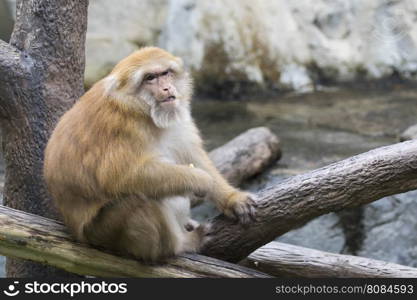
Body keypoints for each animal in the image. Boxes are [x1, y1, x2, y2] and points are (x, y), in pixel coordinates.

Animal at [44, 47, 255, 262]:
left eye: (165, 73)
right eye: (150, 78)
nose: (167, 88)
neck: (142, 111)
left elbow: (190, 152)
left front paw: (232, 199)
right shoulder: (123, 127)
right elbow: (118, 176)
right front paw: (200, 180)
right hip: (102, 233)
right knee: (140, 198)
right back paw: (180, 245)